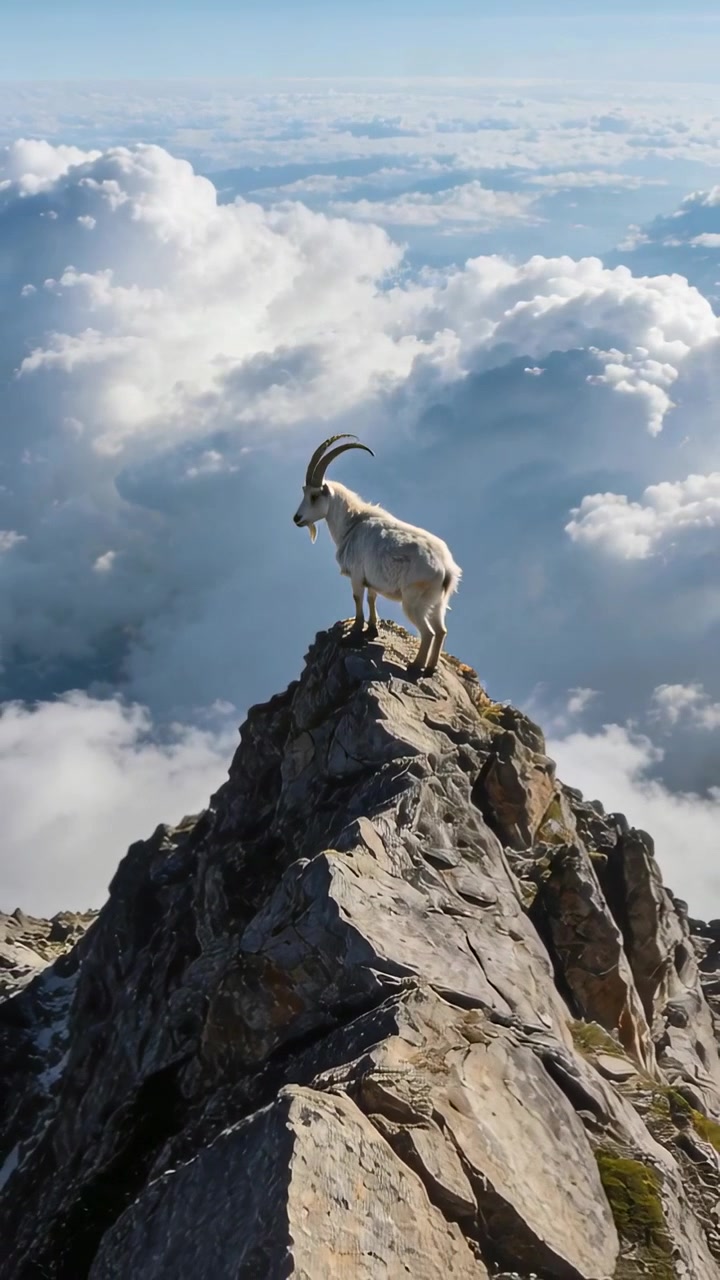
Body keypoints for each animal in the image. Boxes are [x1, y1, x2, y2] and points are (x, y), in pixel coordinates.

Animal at [293, 434, 462, 675]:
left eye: (314, 496)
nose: (297, 518)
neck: (352, 524)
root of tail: (446, 569)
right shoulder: (371, 578)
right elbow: (372, 598)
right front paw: (371, 630)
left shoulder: (356, 575)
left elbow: (357, 599)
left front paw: (354, 632)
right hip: (437, 602)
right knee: (441, 631)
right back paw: (429, 669)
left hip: (414, 601)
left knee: (428, 633)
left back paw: (414, 667)